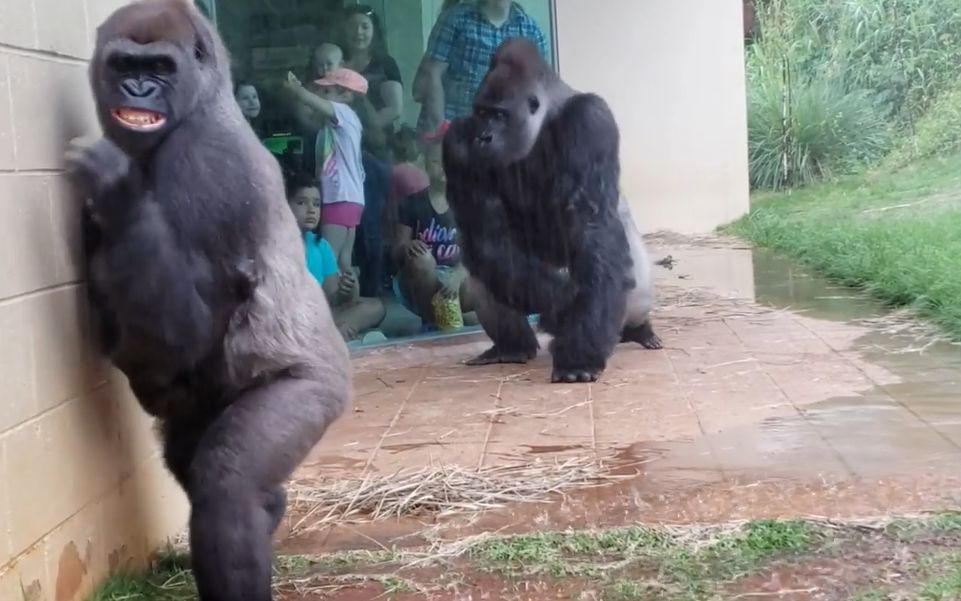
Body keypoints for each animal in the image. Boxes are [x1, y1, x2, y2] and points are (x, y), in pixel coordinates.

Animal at [63, 2, 350, 596]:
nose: (139, 88)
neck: (206, 100)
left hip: (318, 391)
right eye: (125, 64)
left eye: (160, 68)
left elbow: (187, 329)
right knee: (187, 456)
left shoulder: (206, 166)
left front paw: (118, 191)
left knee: (225, 484)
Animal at [442, 37, 660, 382]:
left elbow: (592, 228)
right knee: (489, 271)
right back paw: (512, 348)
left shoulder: (591, 120)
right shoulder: (458, 142)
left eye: (500, 115)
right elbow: (487, 240)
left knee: (631, 286)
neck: (545, 119)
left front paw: (580, 352)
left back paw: (639, 329)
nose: (484, 137)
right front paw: (565, 313)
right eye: (481, 112)